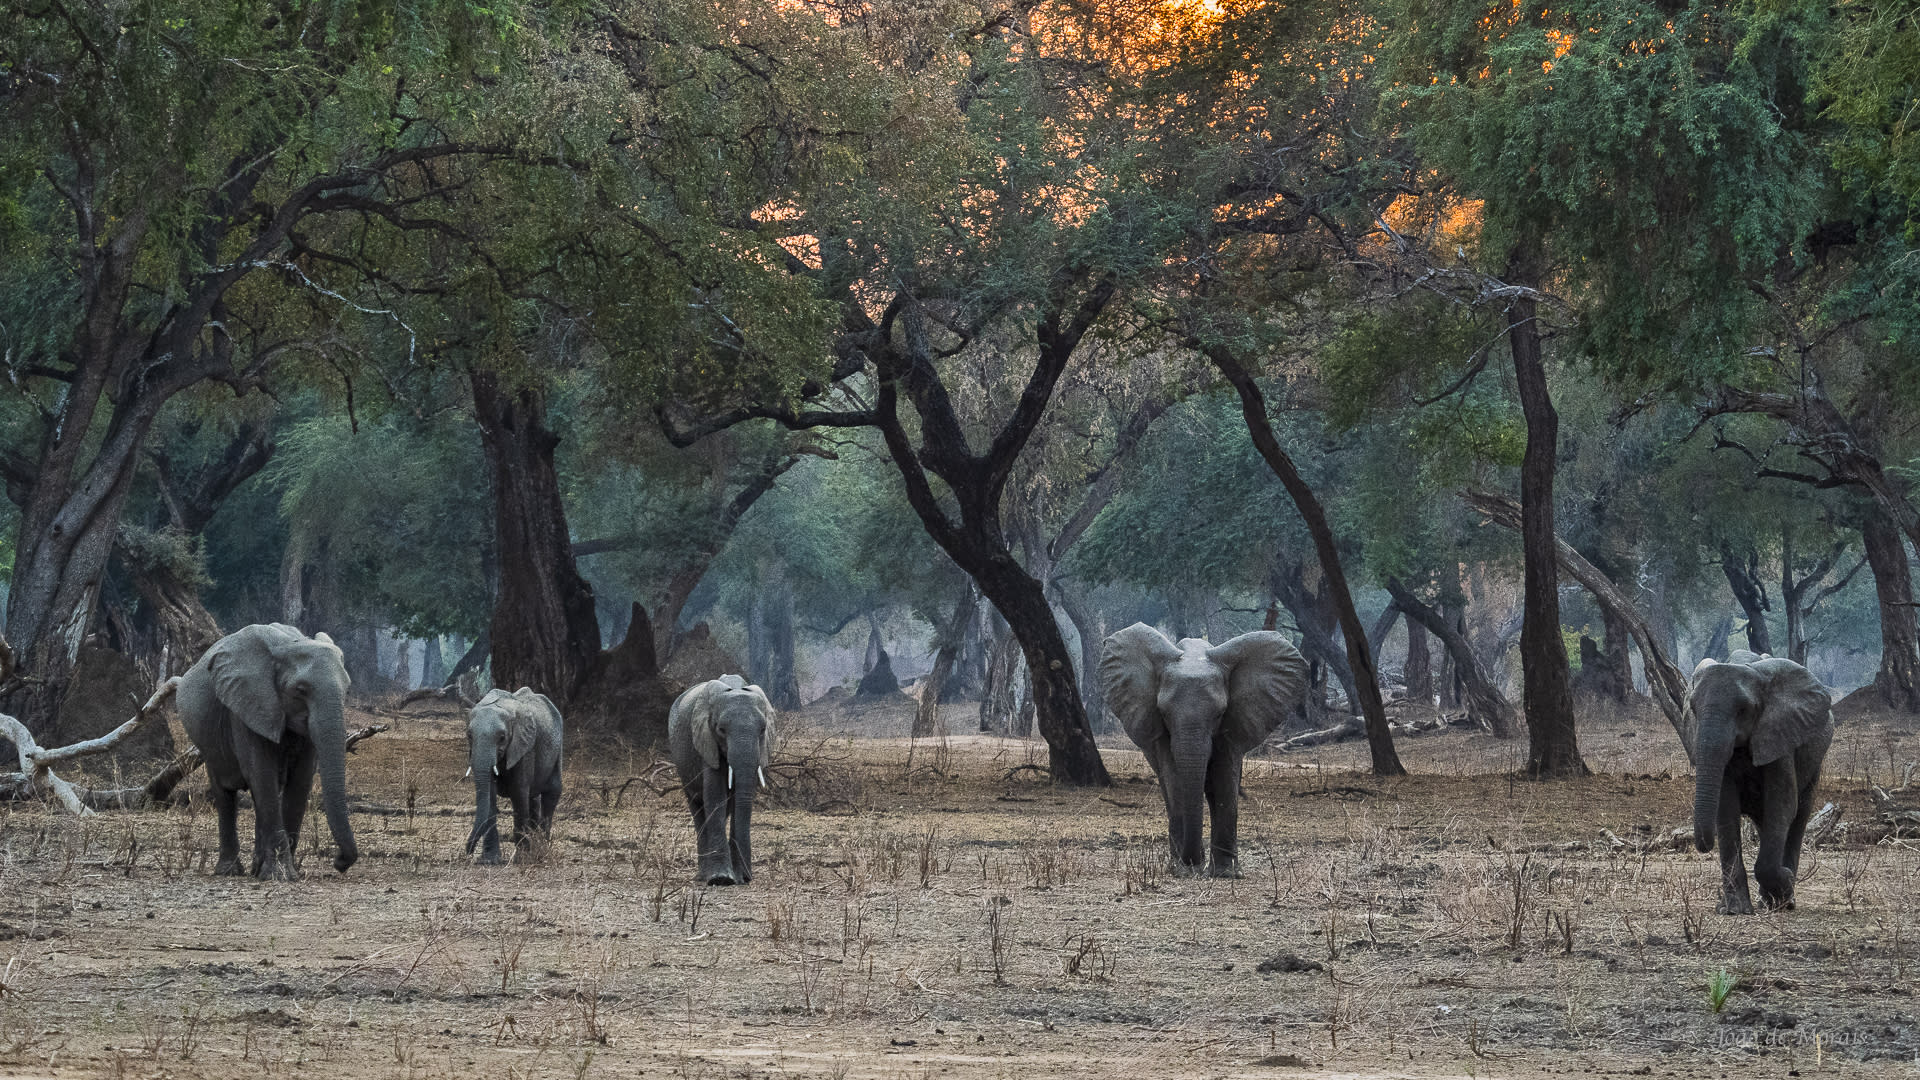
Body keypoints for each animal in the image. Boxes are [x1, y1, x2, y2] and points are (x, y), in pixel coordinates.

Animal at [181, 618, 360, 880]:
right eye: (300, 690)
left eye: (347, 690)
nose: (338, 862)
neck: (286, 647)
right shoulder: (247, 703)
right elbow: (261, 773)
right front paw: (281, 875)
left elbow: (300, 781)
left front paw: (286, 872)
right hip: (206, 741)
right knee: (225, 794)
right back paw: (229, 871)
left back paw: (256, 869)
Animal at [464, 687, 560, 864]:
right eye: (469, 736)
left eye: (502, 737)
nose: (468, 852)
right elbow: (490, 795)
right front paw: (489, 860)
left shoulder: (524, 746)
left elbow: (518, 792)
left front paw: (521, 859)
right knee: (533, 798)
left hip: (557, 749)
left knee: (551, 794)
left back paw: (542, 849)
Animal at [668, 672, 771, 883]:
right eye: (721, 730)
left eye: (763, 730)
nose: (747, 878)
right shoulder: (706, 741)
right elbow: (715, 795)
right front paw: (721, 879)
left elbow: (738, 799)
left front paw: (739, 877)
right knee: (698, 808)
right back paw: (703, 876)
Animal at [1105, 622, 1313, 876]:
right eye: (1163, 713)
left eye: (1219, 713)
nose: (1191, 863)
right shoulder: (1159, 729)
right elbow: (1175, 779)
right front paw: (1184, 871)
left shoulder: (1233, 721)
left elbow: (1223, 778)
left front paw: (1226, 874)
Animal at [1689, 645, 1835, 907]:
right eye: (1693, 709)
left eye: (1743, 710)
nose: (1705, 846)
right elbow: (1726, 810)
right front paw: (1734, 909)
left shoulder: (1780, 733)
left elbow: (1782, 805)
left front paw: (1785, 881)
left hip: (1815, 760)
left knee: (1799, 815)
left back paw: (1783, 901)